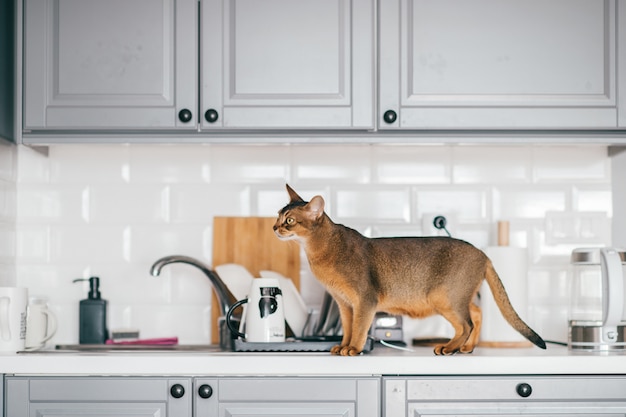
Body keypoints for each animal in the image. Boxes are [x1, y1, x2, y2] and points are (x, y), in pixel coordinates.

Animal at [270, 184, 544, 356]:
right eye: (278, 215)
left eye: (290, 220)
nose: (274, 228)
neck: (322, 249)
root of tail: (483, 253)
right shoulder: (344, 303)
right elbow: (348, 328)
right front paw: (342, 346)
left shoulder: (365, 300)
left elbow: (359, 327)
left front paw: (355, 349)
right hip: (457, 296)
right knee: (476, 314)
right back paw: (466, 347)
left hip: (443, 296)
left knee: (466, 324)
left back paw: (449, 348)